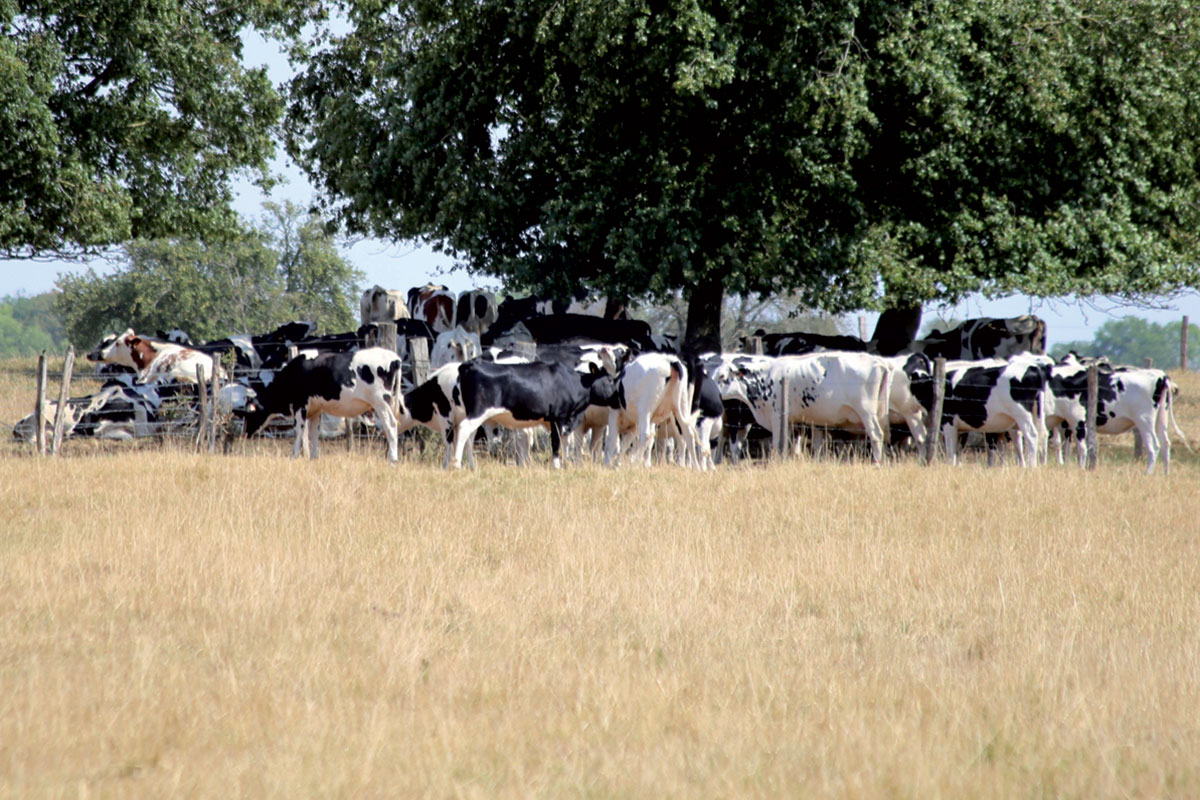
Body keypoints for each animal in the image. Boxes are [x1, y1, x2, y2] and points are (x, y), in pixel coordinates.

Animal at [241, 345, 405, 462]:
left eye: (249, 414)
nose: (244, 434)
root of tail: (394, 358)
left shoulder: (300, 405)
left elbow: (299, 431)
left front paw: (294, 456)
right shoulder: (316, 409)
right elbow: (314, 433)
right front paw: (314, 458)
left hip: (381, 402)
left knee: (391, 425)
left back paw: (393, 459)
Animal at [451, 357, 614, 470]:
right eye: (611, 380)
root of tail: (471, 363)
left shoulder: (565, 421)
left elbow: (565, 442)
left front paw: (566, 463)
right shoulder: (557, 416)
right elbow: (556, 442)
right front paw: (556, 466)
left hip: (474, 414)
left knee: (470, 436)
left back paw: (472, 466)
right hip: (478, 411)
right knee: (464, 429)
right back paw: (457, 465)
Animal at [710, 352, 892, 460]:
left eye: (722, 376)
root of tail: (877, 361)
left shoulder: (777, 417)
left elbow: (777, 444)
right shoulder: (793, 422)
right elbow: (791, 447)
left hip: (866, 412)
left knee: (876, 435)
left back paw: (877, 463)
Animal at [902, 352, 1051, 465]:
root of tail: (1033, 368)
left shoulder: (949, 423)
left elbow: (951, 452)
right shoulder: (962, 429)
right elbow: (957, 452)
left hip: (1022, 415)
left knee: (1032, 436)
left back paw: (1031, 466)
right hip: (1036, 415)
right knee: (1042, 435)